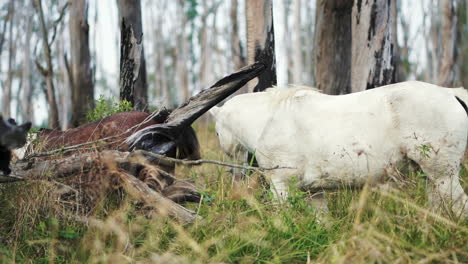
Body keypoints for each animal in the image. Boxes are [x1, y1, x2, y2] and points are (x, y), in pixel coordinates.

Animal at [210, 81, 468, 217]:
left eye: (216, 133)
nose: (236, 175)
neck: (269, 120)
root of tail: (450, 93)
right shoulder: (315, 191)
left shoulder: (281, 185)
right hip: (431, 177)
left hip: (443, 175)